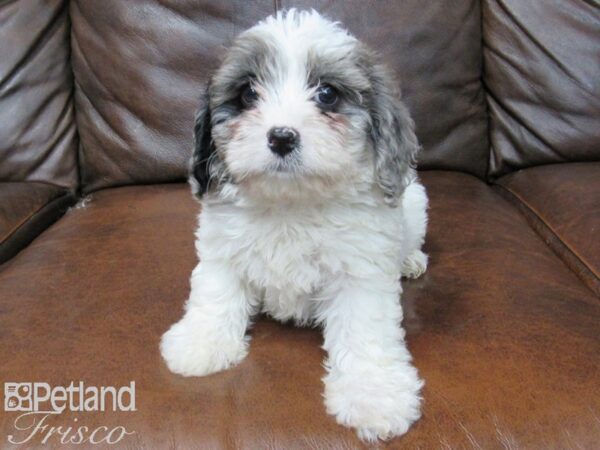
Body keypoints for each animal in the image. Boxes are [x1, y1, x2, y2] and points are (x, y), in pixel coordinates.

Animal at [162, 8, 428, 442]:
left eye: (327, 94)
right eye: (248, 94)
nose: (282, 137)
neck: (291, 202)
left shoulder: (361, 273)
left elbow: (365, 332)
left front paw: (374, 395)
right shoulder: (222, 249)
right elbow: (215, 294)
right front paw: (201, 343)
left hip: (416, 201)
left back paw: (411, 261)